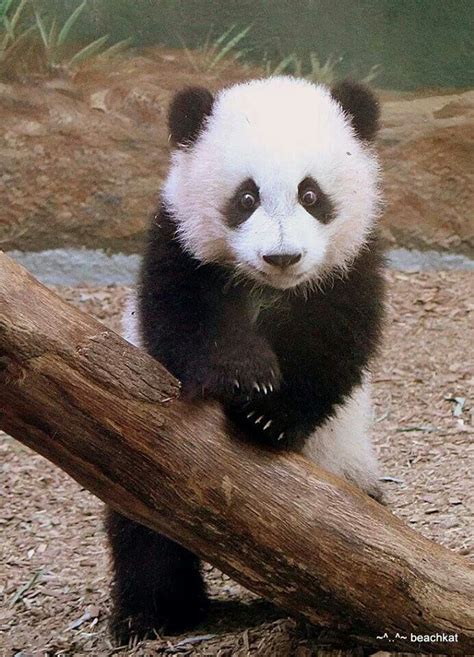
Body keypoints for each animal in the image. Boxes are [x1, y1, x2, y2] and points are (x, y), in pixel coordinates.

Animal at [106, 75, 386, 640]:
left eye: (310, 194)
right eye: (246, 197)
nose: (282, 256)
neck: (270, 289)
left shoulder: (351, 265)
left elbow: (333, 345)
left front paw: (267, 416)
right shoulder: (179, 245)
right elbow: (184, 323)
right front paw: (245, 378)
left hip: (345, 468)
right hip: (142, 470)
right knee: (144, 534)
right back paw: (153, 614)